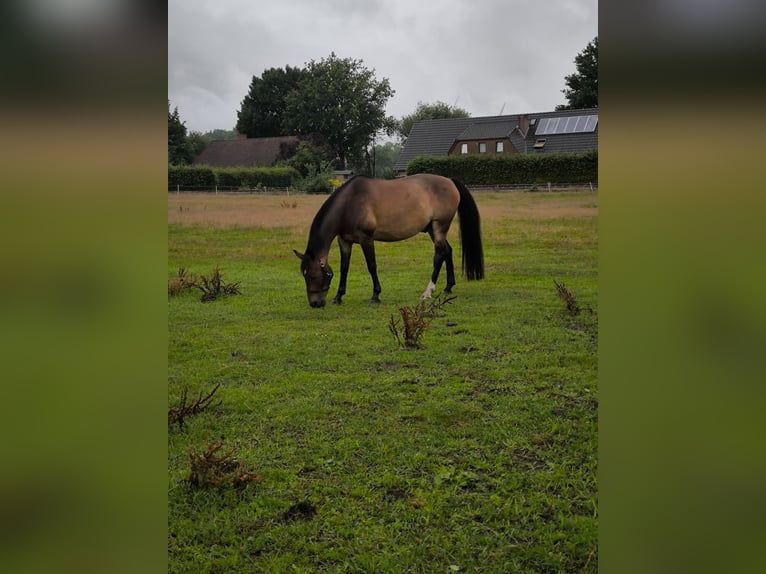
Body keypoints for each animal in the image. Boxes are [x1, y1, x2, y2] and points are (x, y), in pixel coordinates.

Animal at [293, 173, 484, 308]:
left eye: (312, 275)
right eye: (304, 275)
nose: (315, 303)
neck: (350, 203)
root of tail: (449, 181)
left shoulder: (366, 238)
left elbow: (371, 266)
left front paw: (375, 296)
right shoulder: (344, 241)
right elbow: (344, 268)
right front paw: (338, 297)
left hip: (439, 227)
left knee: (438, 256)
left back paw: (428, 292)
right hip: (432, 229)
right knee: (447, 251)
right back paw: (448, 287)